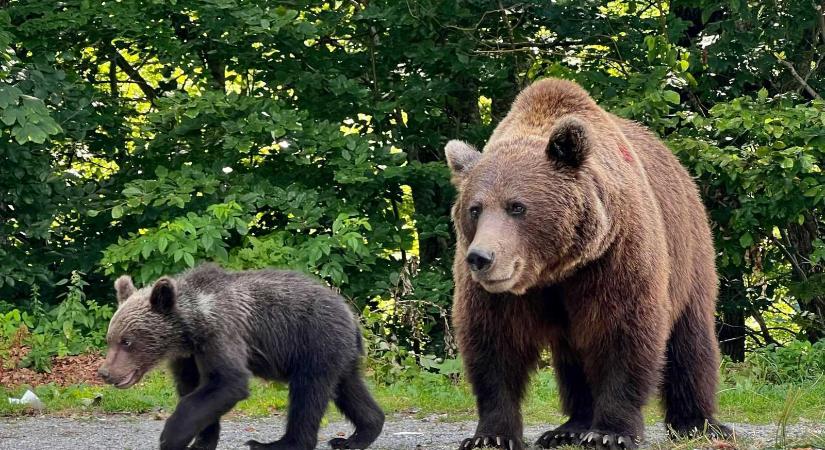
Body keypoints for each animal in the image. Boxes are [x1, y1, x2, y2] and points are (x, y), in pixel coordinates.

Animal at [448, 79, 732, 448]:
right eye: (475, 208)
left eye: (517, 206)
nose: (481, 258)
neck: (555, 270)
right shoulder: (499, 294)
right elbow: (494, 345)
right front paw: (491, 436)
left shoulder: (614, 257)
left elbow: (623, 333)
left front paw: (610, 433)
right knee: (574, 355)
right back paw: (569, 427)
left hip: (688, 252)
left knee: (690, 341)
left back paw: (697, 423)